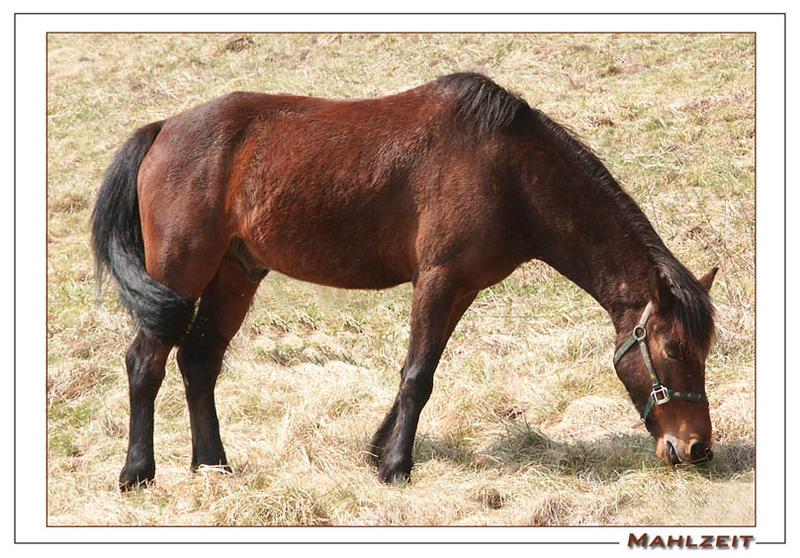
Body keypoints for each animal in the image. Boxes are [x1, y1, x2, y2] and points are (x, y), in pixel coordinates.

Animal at [92, 72, 720, 492]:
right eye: (671, 348)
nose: (696, 447)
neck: (510, 171)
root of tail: (163, 130)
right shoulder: (438, 279)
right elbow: (418, 375)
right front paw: (396, 466)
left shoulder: (460, 287)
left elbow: (420, 370)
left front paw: (378, 451)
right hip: (180, 270)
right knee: (145, 362)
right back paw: (138, 472)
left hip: (234, 273)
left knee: (198, 361)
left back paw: (213, 463)